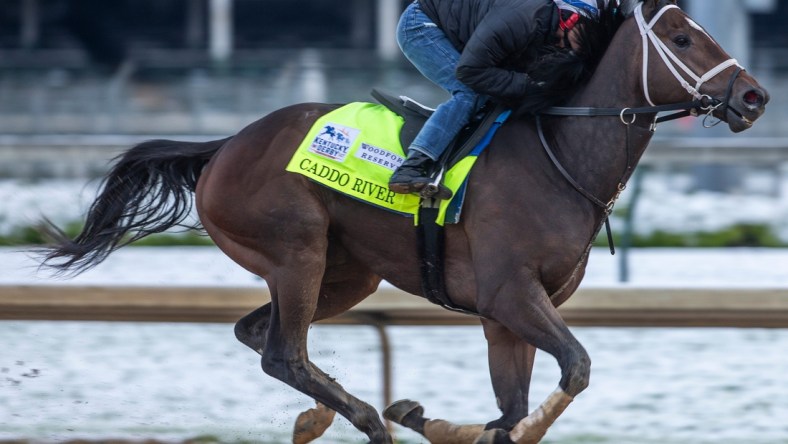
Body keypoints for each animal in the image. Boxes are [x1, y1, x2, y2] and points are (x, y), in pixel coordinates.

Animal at [40, 0, 768, 444]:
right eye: (681, 37)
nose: (755, 95)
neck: (558, 152)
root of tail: (223, 147)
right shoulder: (511, 293)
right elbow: (576, 370)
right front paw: (434, 419)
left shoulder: (508, 315)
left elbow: (514, 405)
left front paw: (448, 422)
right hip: (296, 251)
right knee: (282, 352)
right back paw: (362, 417)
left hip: (347, 273)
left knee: (261, 335)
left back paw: (326, 412)